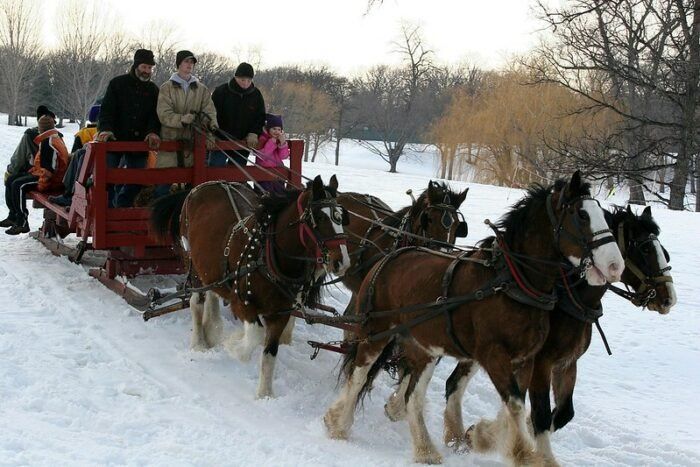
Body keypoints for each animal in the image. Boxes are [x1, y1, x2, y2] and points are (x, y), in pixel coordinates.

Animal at [322, 172, 624, 464]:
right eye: (581, 215)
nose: (615, 265)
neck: (513, 282)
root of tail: (392, 256)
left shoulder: (527, 359)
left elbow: (523, 407)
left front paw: (485, 438)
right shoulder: (496, 355)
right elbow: (518, 405)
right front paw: (523, 454)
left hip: (424, 347)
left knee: (413, 396)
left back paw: (425, 449)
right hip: (376, 330)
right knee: (359, 373)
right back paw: (338, 424)